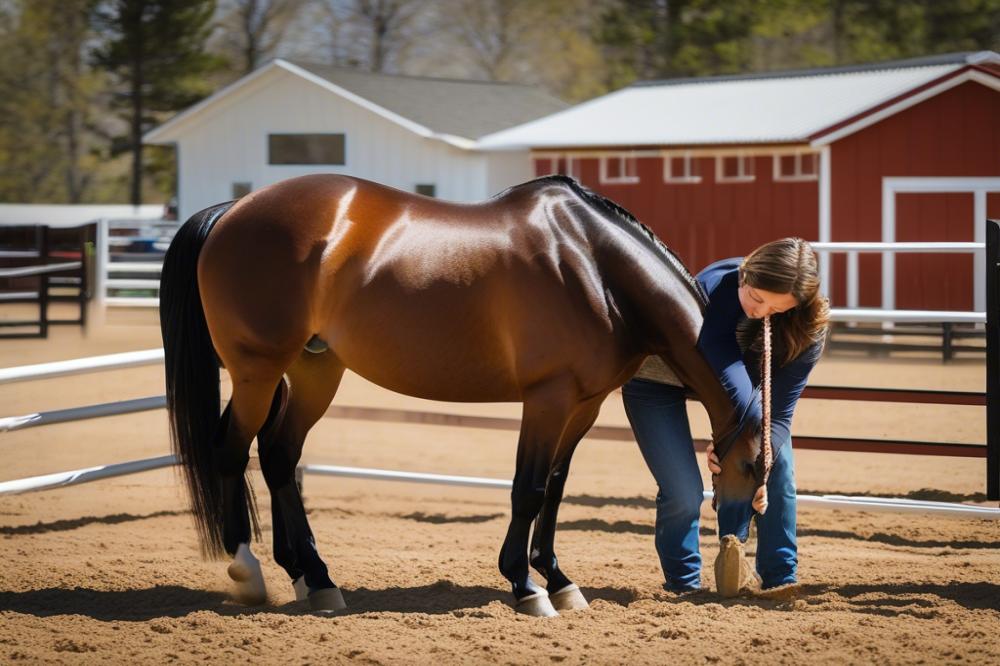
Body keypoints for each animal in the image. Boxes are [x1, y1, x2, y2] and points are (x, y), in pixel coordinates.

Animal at [158, 174, 764, 616]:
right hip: (257, 369)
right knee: (232, 452)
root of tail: (232, 209)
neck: (593, 263)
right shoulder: (547, 399)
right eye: (751, 467)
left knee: (279, 455)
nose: (736, 557)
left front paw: (559, 580)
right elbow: (527, 489)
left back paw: (315, 579)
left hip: (313, 370)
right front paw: (526, 587)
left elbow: (555, 488)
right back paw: (248, 571)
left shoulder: (585, 404)